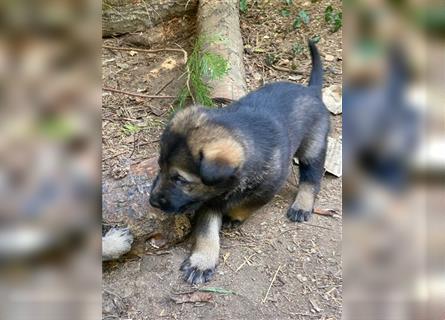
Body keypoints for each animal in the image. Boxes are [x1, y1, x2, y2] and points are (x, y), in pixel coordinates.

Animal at [151, 41, 328, 284]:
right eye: (160, 167)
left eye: (180, 179)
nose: (152, 201)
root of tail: (311, 91)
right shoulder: (210, 199)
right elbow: (206, 230)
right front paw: (202, 260)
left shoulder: (269, 186)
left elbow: (249, 204)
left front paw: (234, 215)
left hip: (313, 146)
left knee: (311, 178)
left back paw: (302, 204)